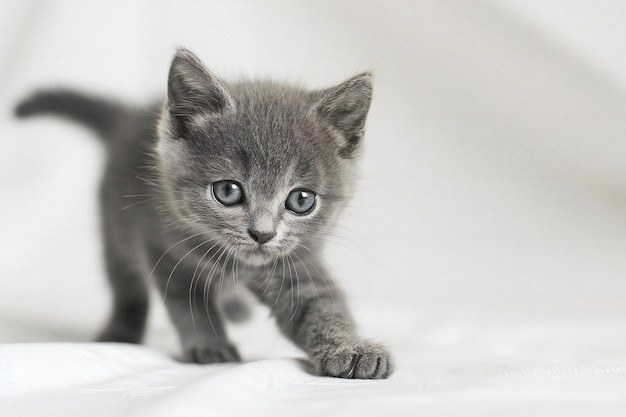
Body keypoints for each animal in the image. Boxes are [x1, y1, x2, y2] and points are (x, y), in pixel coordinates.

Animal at [14, 48, 390, 376]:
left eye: (301, 200)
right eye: (227, 192)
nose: (262, 233)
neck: (238, 263)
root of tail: (130, 117)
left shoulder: (296, 261)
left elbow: (321, 305)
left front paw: (351, 349)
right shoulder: (165, 249)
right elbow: (190, 304)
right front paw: (211, 345)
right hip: (115, 224)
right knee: (127, 283)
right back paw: (121, 330)